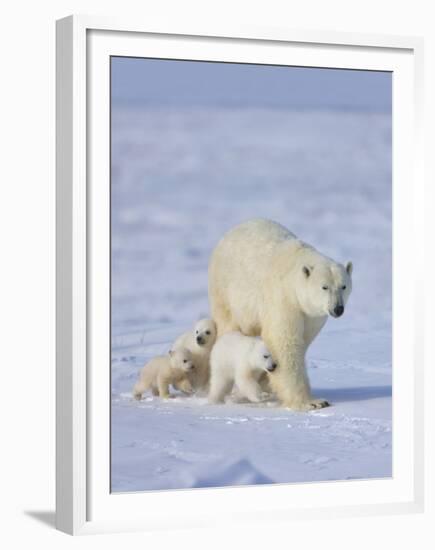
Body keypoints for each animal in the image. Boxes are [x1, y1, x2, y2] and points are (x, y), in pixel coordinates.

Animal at [209, 219, 354, 410]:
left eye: (343, 286)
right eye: (324, 287)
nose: (338, 309)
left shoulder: (312, 316)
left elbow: (302, 340)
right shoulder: (283, 299)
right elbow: (284, 341)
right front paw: (312, 402)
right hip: (227, 291)